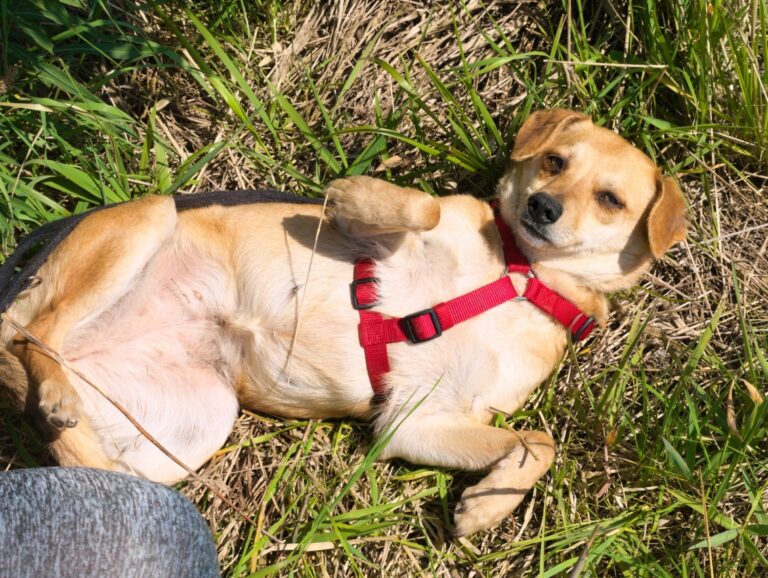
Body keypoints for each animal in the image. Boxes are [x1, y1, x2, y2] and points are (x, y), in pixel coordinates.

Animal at [0, 109, 684, 536]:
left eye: (610, 199)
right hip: (147, 221)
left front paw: (486, 509)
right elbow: (422, 205)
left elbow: (539, 443)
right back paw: (52, 386)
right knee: (31, 331)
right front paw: (356, 190)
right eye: (553, 162)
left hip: (192, 430)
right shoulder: (389, 235)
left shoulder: (416, 420)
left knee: (68, 427)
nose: (542, 207)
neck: (518, 275)